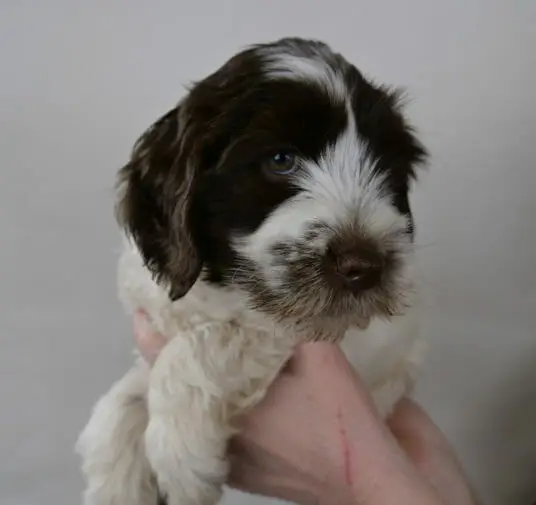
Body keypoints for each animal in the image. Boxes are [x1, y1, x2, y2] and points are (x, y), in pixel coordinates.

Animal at [75, 37, 428, 504]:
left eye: (384, 168)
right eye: (281, 159)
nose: (365, 267)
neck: (222, 284)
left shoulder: (322, 336)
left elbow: (202, 345)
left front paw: (179, 459)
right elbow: (125, 397)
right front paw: (116, 481)